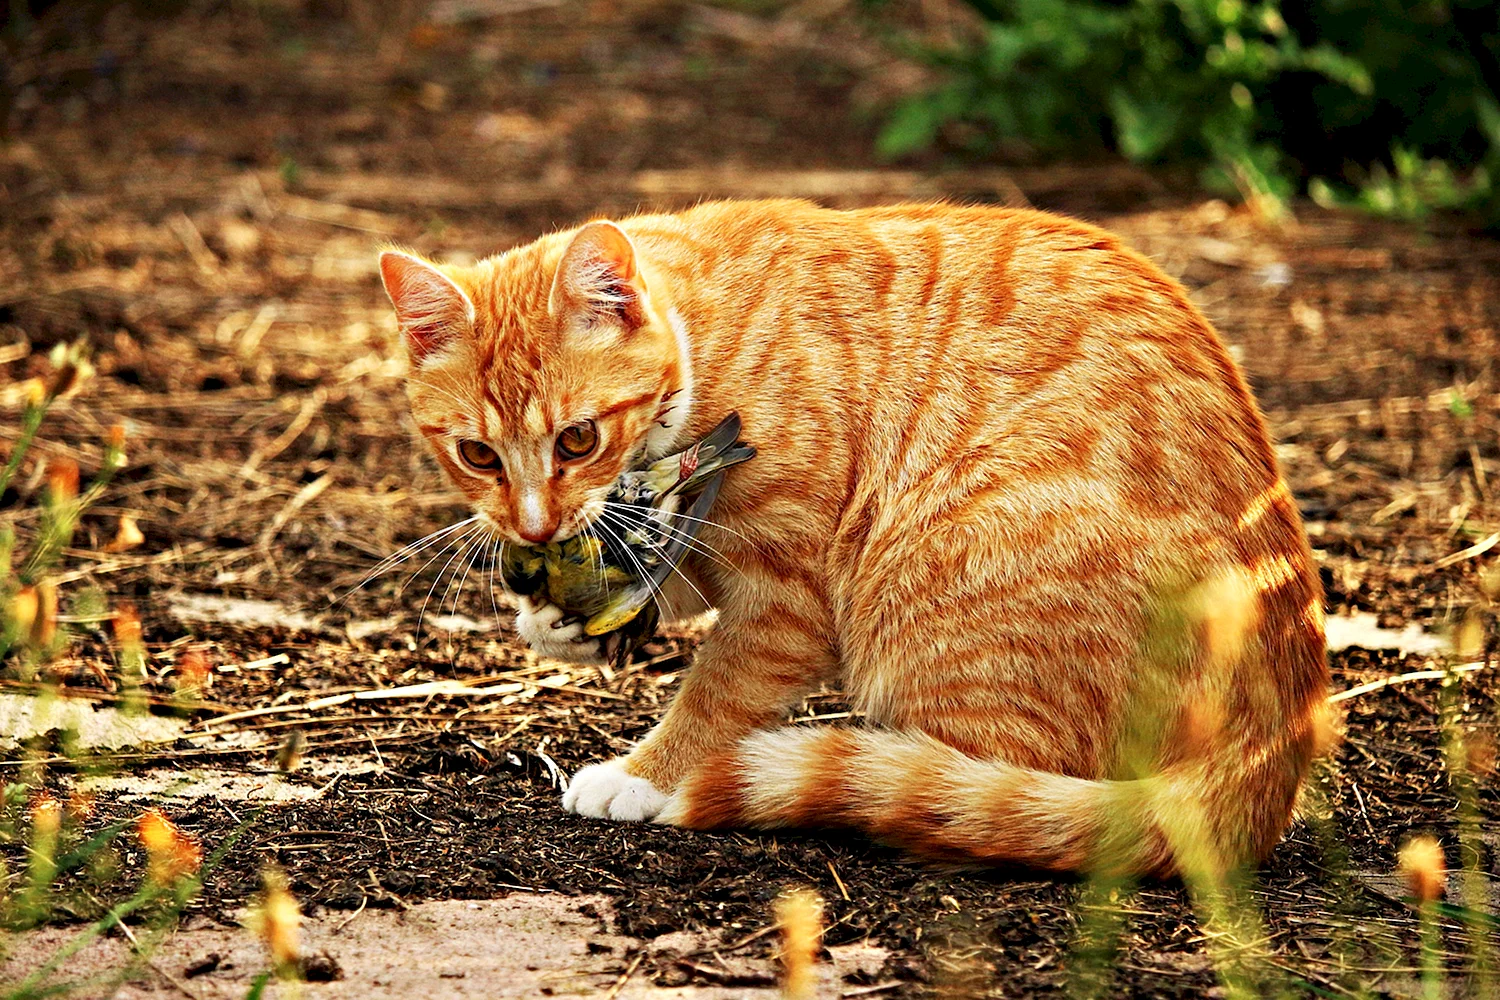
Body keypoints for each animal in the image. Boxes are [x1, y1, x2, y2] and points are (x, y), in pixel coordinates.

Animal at [381, 200, 1332, 875]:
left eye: (578, 439)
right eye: (476, 454)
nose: (533, 526)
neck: (707, 344)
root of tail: (1275, 747)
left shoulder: (787, 598)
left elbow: (715, 691)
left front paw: (644, 773)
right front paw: (557, 616)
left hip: (935, 580)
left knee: (988, 797)